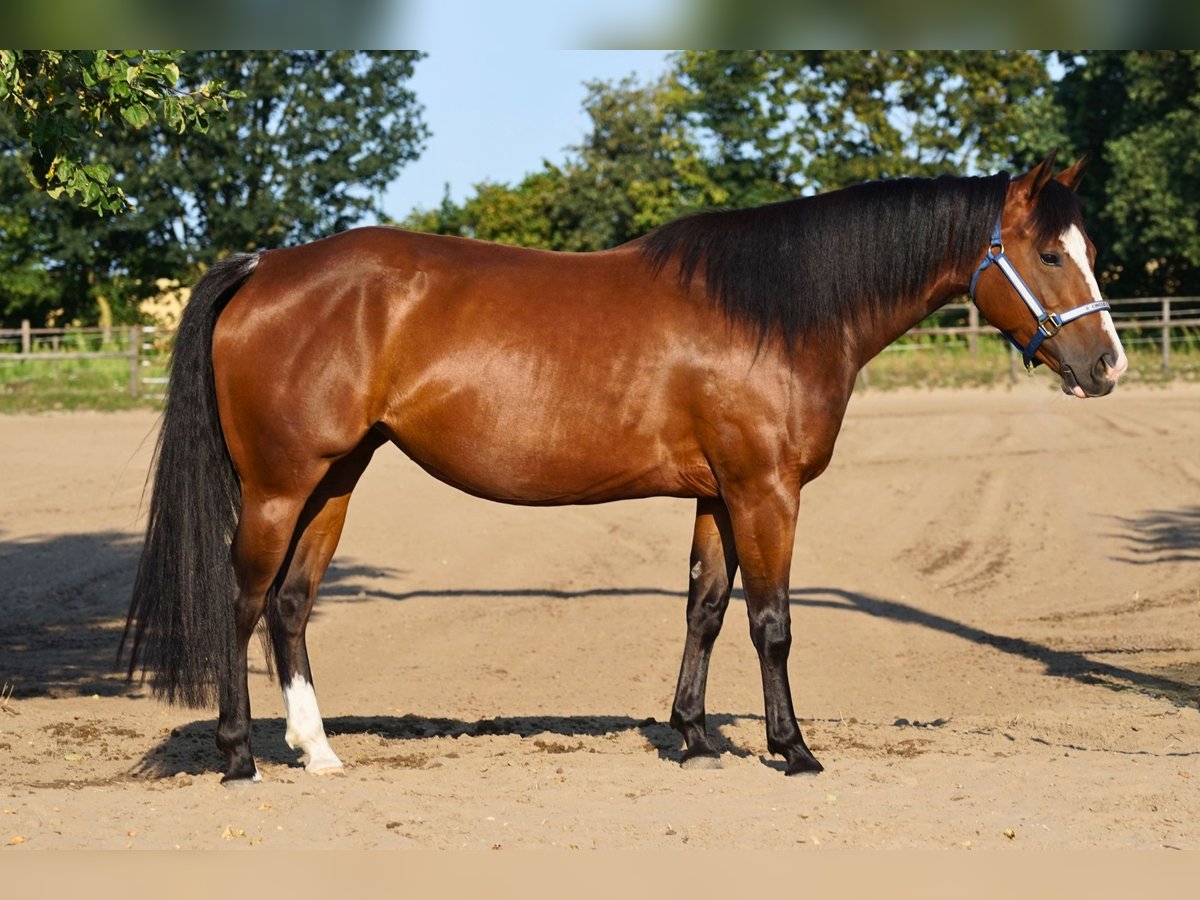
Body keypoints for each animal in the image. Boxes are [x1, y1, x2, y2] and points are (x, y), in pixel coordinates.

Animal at [123, 152, 1127, 784]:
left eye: (1089, 251)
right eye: (1048, 252)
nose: (1108, 366)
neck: (778, 309)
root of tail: (268, 266)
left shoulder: (719, 495)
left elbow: (706, 610)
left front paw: (693, 738)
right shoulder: (765, 491)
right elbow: (772, 623)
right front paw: (793, 750)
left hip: (335, 480)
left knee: (290, 606)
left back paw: (319, 752)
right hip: (279, 485)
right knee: (243, 600)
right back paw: (240, 757)